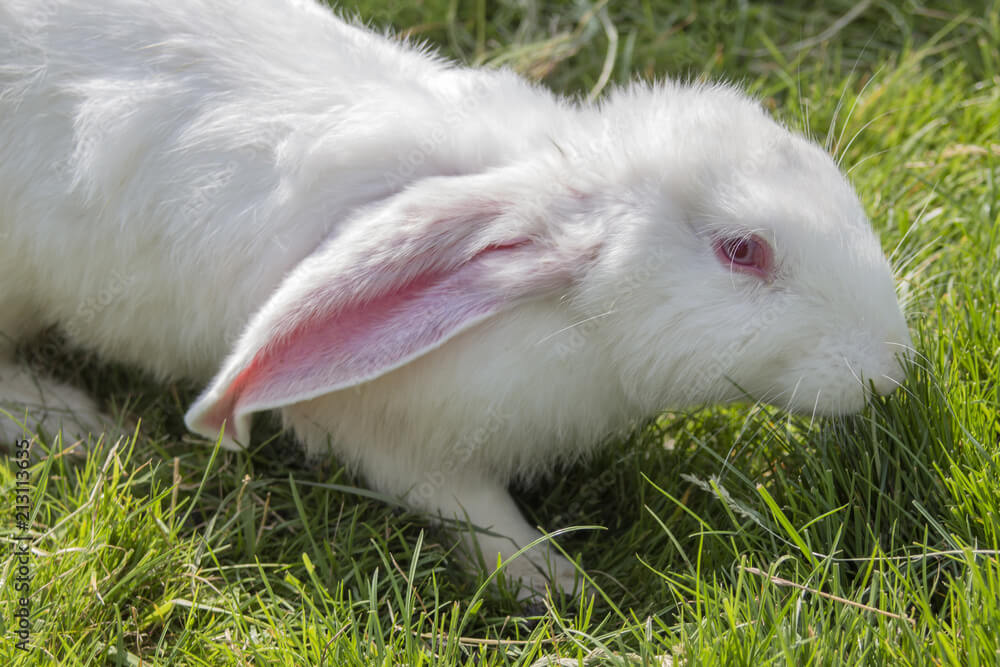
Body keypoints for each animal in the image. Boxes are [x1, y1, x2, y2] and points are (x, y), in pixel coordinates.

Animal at [0, 0, 911, 598]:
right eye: (742, 250)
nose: (891, 369)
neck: (563, 308)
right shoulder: (401, 438)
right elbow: (474, 514)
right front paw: (557, 581)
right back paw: (67, 420)